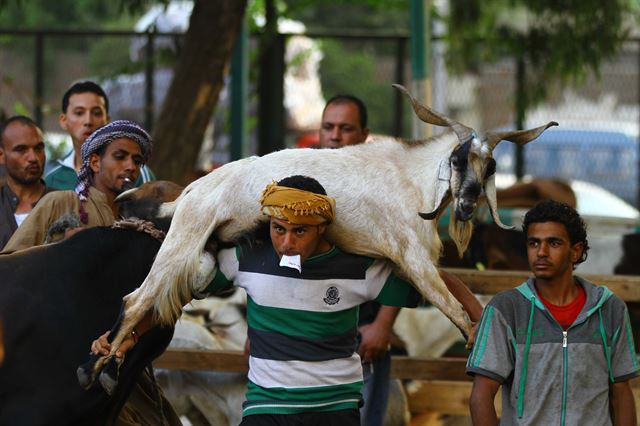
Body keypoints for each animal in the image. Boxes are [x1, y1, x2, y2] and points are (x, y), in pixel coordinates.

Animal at [90, 85, 556, 388]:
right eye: (458, 160)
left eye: (490, 167)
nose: (468, 202)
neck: (411, 180)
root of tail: (190, 192)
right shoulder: (413, 258)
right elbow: (457, 312)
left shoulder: (411, 262)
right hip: (183, 241)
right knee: (136, 299)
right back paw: (102, 367)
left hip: (201, 262)